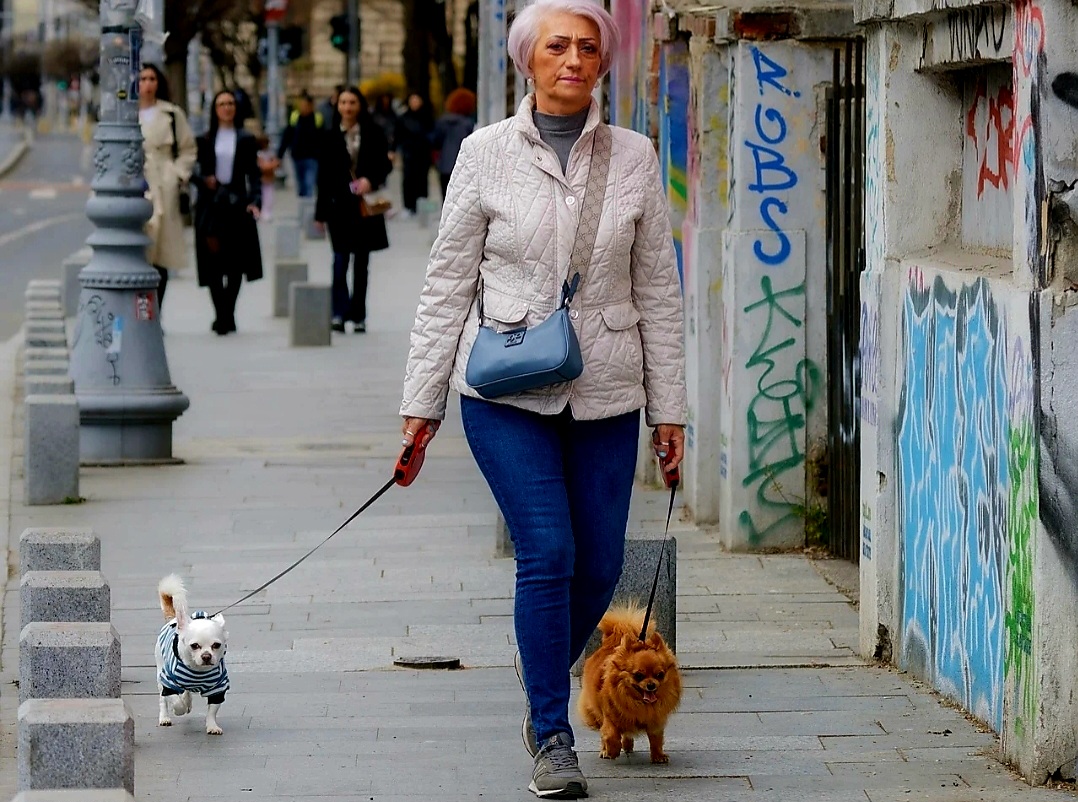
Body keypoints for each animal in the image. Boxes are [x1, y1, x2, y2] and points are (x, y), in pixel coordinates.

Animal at [156, 574, 229, 734]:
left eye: (216, 645)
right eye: (194, 646)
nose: (206, 656)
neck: (198, 671)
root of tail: (173, 619)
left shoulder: (218, 688)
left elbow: (212, 710)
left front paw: (212, 726)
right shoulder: (168, 683)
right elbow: (175, 701)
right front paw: (179, 709)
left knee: (187, 691)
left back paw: (187, 701)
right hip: (160, 674)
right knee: (163, 700)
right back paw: (165, 717)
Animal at [577, 605, 682, 764]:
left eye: (660, 675)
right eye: (638, 675)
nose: (651, 685)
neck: (639, 704)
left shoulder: (655, 723)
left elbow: (656, 740)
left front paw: (658, 756)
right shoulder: (610, 718)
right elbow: (611, 735)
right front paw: (612, 751)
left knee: (627, 734)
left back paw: (627, 746)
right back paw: (605, 750)